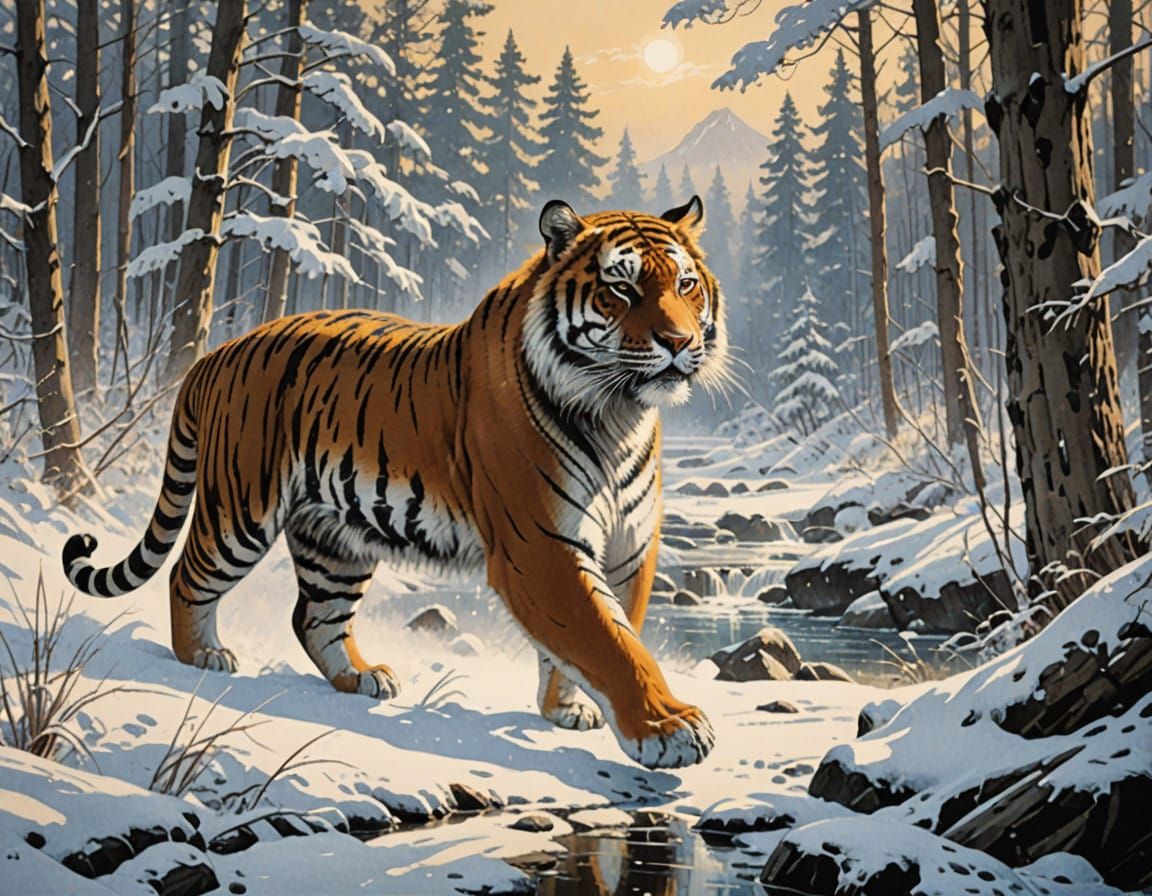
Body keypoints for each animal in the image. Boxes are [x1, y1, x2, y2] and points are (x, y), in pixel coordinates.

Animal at [62, 197, 729, 769]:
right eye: (622, 287)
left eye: (685, 285)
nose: (678, 342)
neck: (618, 412)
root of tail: (213, 355)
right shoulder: (541, 547)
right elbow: (609, 641)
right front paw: (669, 730)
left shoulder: (627, 547)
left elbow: (599, 636)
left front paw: (564, 709)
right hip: (240, 511)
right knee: (187, 574)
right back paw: (200, 654)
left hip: (335, 539)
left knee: (313, 616)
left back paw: (359, 677)